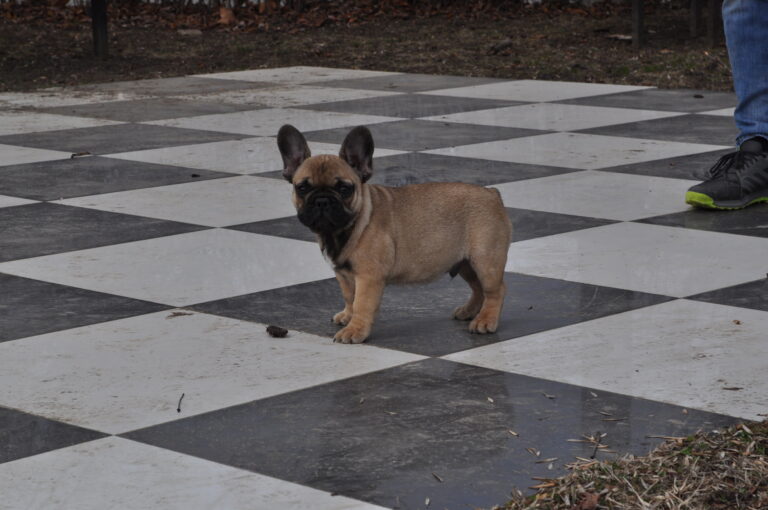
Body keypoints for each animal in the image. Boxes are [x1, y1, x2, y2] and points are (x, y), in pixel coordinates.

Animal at [277, 124, 512, 344]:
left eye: (344, 189)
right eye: (302, 188)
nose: (322, 200)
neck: (348, 227)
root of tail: (492, 193)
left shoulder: (368, 277)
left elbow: (361, 303)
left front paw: (355, 330)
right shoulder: (343, 275)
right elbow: (349, 296)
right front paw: (347, 315)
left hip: (485, 260)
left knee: (495, 290)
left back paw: (486, 320)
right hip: (465, 262)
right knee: (478, 288)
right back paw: (470, 311)